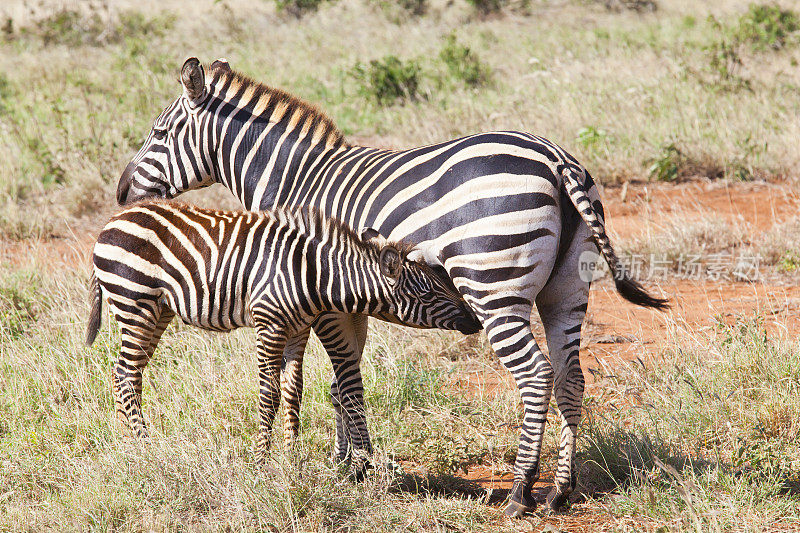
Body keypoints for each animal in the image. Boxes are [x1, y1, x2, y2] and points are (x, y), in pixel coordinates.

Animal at [86, 200, 482, 462]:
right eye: (428, 294)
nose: (476, 321)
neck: (313, 276)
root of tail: (114, 219)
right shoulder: (269, 324)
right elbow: (269, 394)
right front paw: (262, 460)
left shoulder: (298, 329)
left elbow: (293, 392)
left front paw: (291, 457)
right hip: (134, 302)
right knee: (125, 373)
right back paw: (146, 444)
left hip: (158, 311)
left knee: (127, 374)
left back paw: (128, 444)